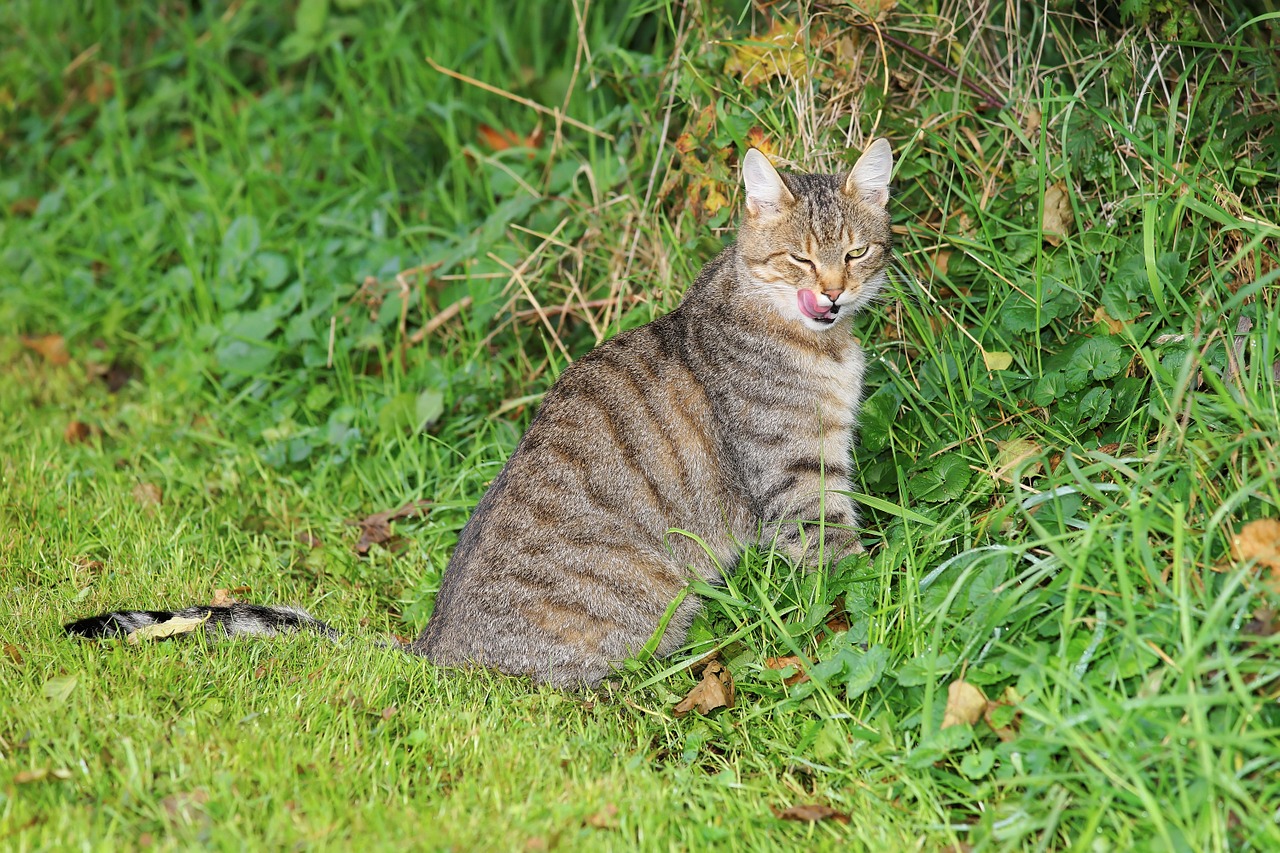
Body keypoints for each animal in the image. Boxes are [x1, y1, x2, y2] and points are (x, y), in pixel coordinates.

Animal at [67, 139, 890, 686]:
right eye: (798, 258)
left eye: (854, 253)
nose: (832, 292)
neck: (820, 344)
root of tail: (434, 642)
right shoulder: (795, 481)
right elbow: (844, 568)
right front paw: (874, 598)